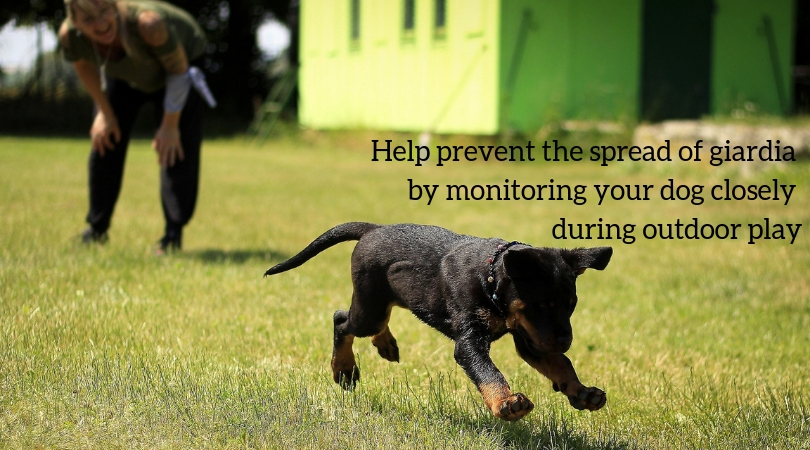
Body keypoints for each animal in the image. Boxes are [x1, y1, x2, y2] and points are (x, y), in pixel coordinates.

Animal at [266, 223, 612, 420]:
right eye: (541, 305)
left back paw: (385, 344)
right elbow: (488, 372)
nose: (566, 340)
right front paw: (505, 403)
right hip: (369, 308)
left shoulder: (531, 338)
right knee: (342, 320)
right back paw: (344, 369)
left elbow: (561, 364)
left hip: (385, 299)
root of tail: (373, 228)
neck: (490, 277)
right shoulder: (471, 340)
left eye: (571, 306)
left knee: (376, 320)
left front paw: (582, 392)